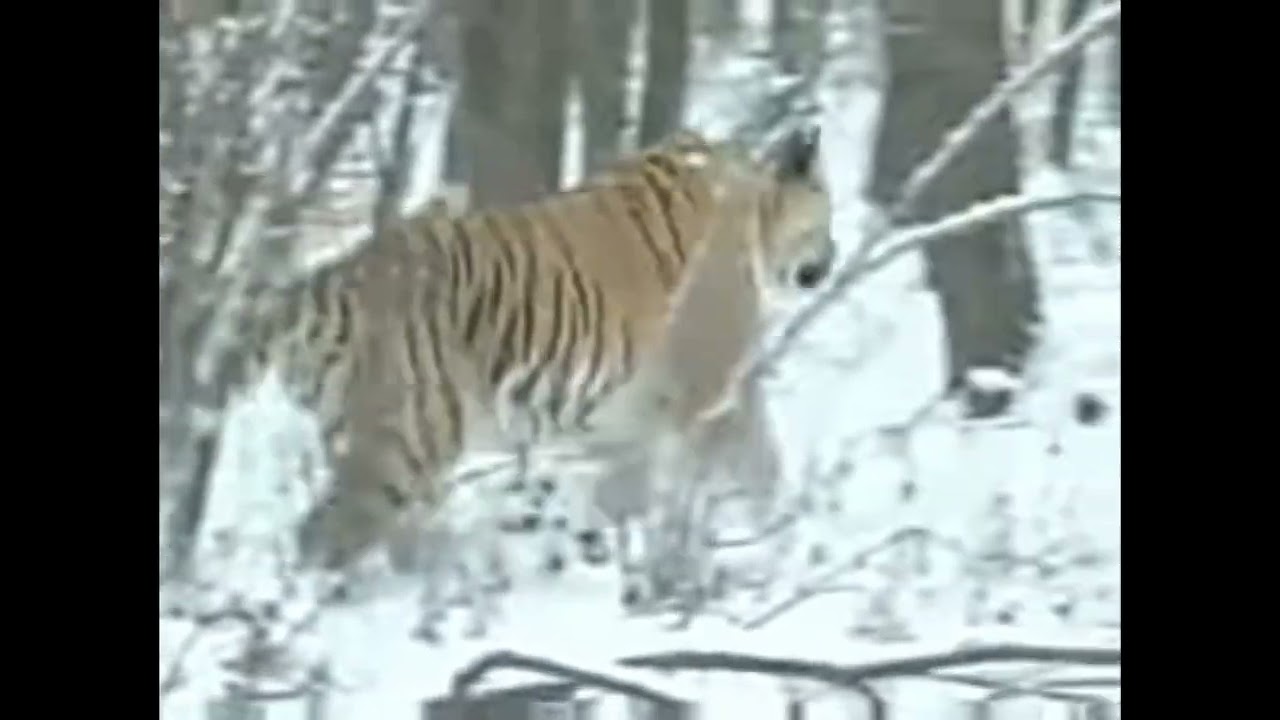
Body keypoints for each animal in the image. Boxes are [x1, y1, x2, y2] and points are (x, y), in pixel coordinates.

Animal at [240, 123, 835, 638]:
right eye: (826, 211)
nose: (828, 260)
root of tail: (316, 285)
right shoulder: (698, 394)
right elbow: (738, 475)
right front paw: (758, 554)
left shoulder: (618, 418)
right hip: (405, 442)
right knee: (327, 536)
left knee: (387, 539)